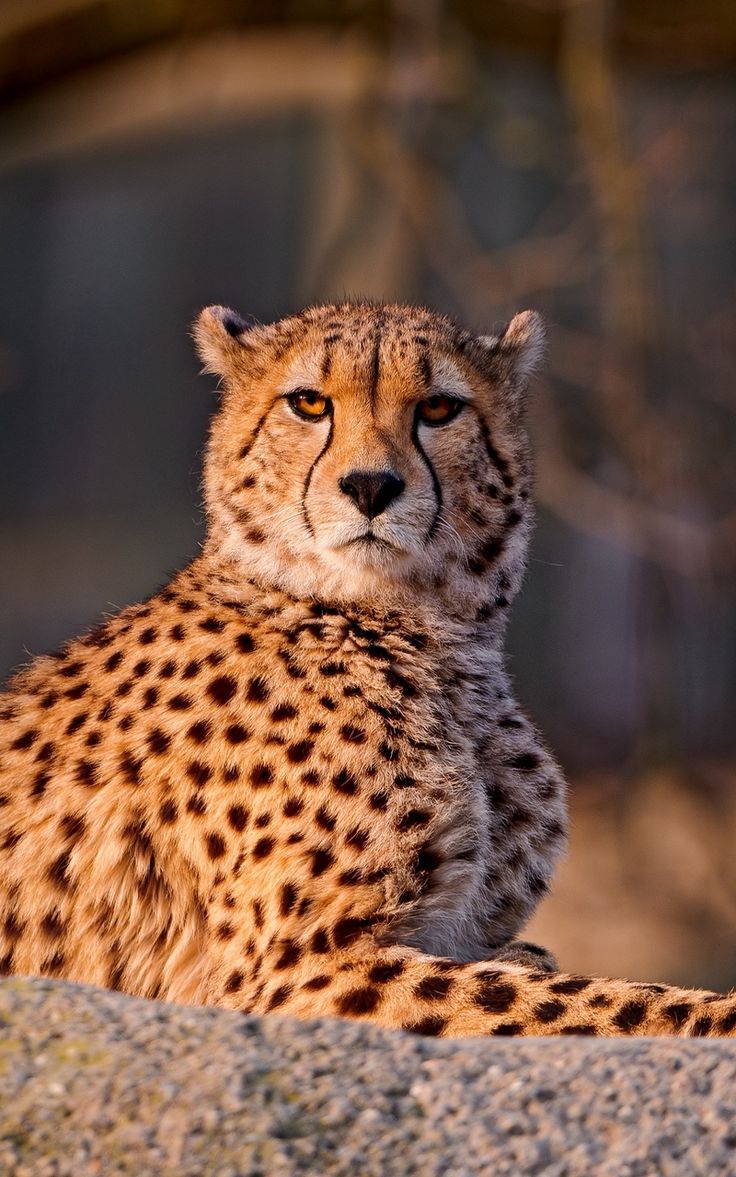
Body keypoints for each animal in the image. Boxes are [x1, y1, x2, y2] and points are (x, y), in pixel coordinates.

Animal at [1, 298, 734, 1040]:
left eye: (438, 407)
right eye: (308, 402)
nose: (371, 486)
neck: (420, 640)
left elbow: (548, 974)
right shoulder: (292, 972)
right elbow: (598, 1002)